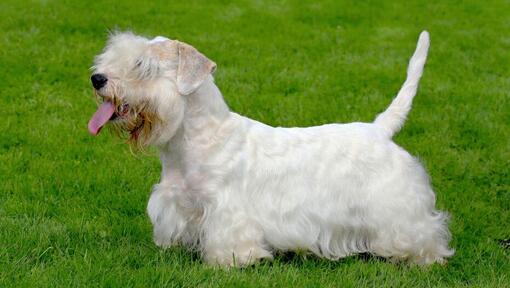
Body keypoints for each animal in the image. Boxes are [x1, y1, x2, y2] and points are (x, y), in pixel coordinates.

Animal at [87, 30, 454, 266]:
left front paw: (229, 261)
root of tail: (380, 129)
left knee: (423, 232)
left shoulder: (226, 211)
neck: (194, 140)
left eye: (142, 66)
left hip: (398, 210)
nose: (97, 79)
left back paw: (423, 258)